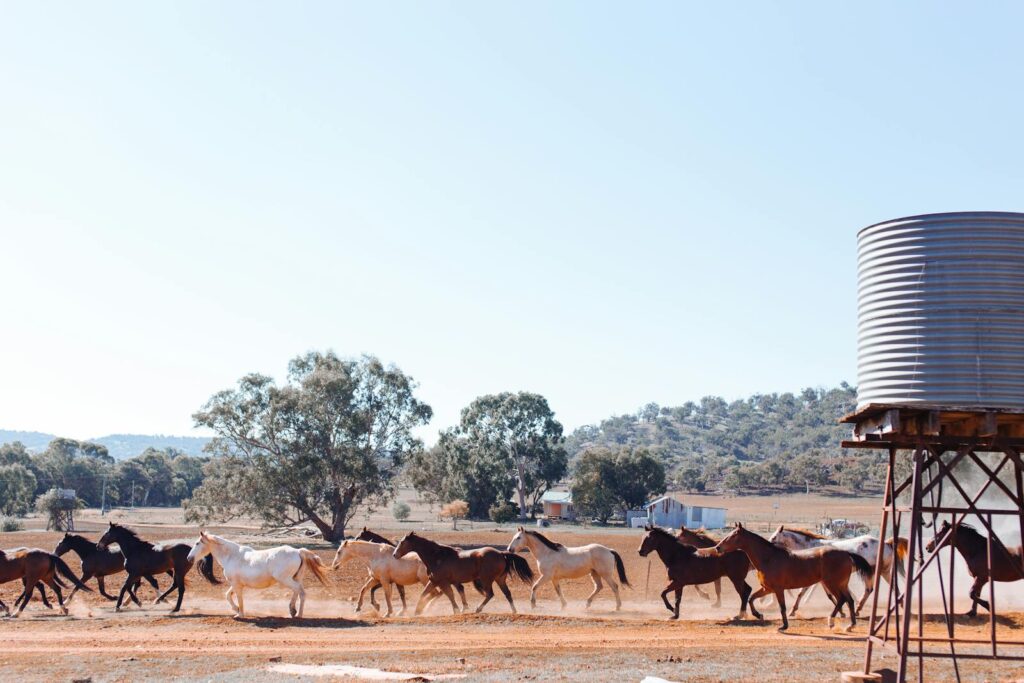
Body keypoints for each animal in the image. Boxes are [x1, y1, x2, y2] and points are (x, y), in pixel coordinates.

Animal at [188, 531, 327, 619]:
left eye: (197, 543)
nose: (189, 558)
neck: (231, 556)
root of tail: (298, 551)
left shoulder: (236, 585)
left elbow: (239, 598)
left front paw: (240, 614)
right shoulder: (236, 584)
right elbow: (228, 595)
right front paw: (236, 610)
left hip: (285, 579)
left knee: (299, 591)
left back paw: (296, 612)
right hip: (295, 578)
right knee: (299, 592)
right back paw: (294, 612)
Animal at [394, 532, 533, 615]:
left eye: (402, 542)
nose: (394, 554)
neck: (437, 557)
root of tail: (501, 553)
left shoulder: (443, 581)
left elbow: (450, 594)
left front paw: (456, 610)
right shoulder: (434, 581)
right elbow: (424, 594)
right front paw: (418, 610)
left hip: (486, 579)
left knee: (490, 594)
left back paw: (478, 609)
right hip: (500, 579)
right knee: (507, 594)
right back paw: (514, 611)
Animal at [712, 523, 873, 632]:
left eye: (733, 536)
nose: (718, 547)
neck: (769, 558)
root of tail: (846, 553)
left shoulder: (778, 589)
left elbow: (782, 607)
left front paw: (784, 626)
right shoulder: (767, 588)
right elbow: (751, 598)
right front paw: (759, 615)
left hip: (832, 583)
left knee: (842, 599)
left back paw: (832, 621)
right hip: (840, 584)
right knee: (849, 600)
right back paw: (850, 625)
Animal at [769, 526, 907, 616]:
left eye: (774, 537)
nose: (769, 546)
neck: (810, 547)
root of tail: (887, 543)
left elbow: (801, 593)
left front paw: (792, 610)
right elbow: (829, 594)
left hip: (873, 572)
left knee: (870, 589)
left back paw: (858, 609)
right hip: (882, 572)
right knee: (890, 587)